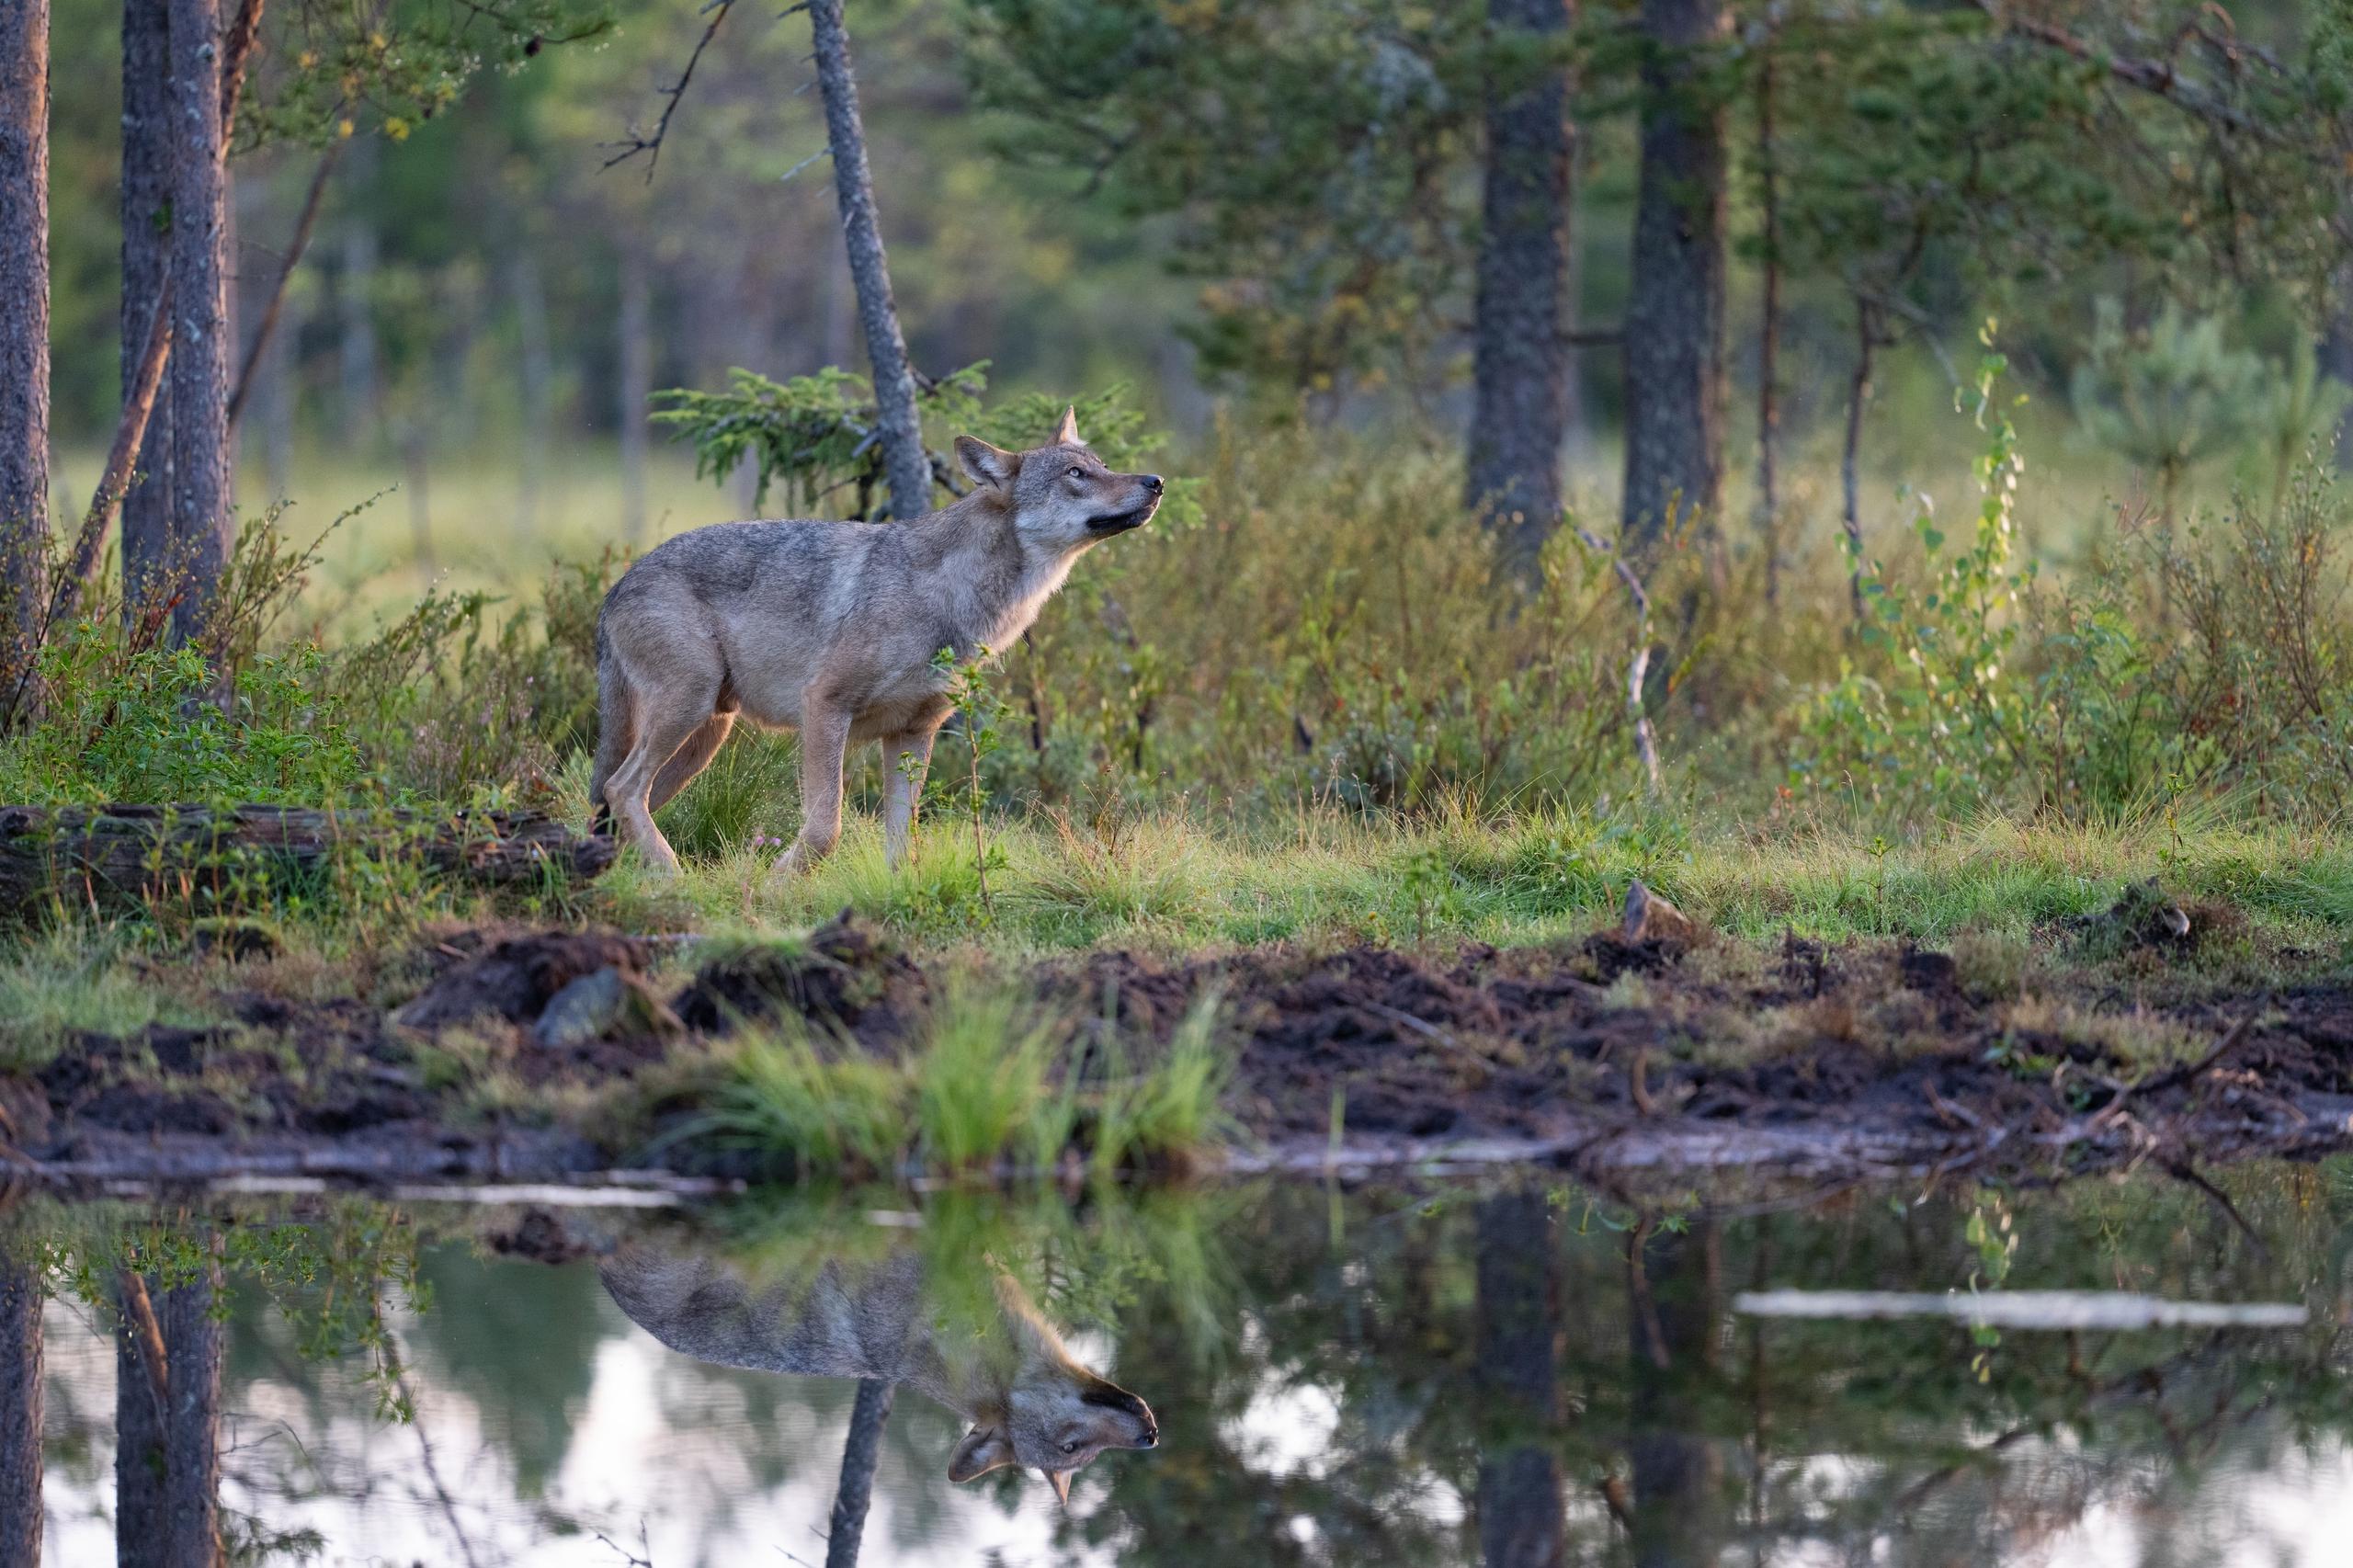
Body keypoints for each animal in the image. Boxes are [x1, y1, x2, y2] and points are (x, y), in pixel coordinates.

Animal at [589, 408, 1162, 876]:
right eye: (1075, 475)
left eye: (1102, 464)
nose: (1156, 480)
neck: (951, 597)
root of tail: (615, 587)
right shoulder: (824, 708)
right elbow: (826, 830)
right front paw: (773, 887)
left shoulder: (914, 732)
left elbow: (902, 845)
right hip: (692, 709)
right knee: (621, 789)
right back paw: (672, 878)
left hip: (706, 734)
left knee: (618, 802)